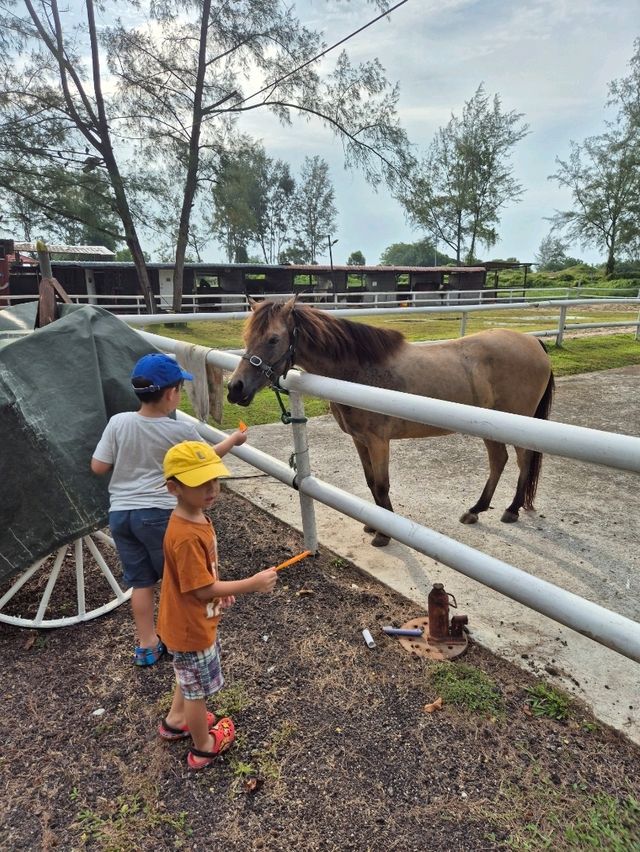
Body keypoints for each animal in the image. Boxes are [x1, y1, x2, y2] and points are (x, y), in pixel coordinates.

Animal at [228, 296, 552, 544]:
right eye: (246, 338)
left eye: (273, 339)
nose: (235, 388)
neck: (359, 372)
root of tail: (533, 342)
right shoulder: (360, 441)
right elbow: (372, 483)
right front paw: (374, 524)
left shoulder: (378, 441)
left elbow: (382, 485)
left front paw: (384, 534)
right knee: (499, 460)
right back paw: (476, 509)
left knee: (523, 459)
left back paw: (512, 509)